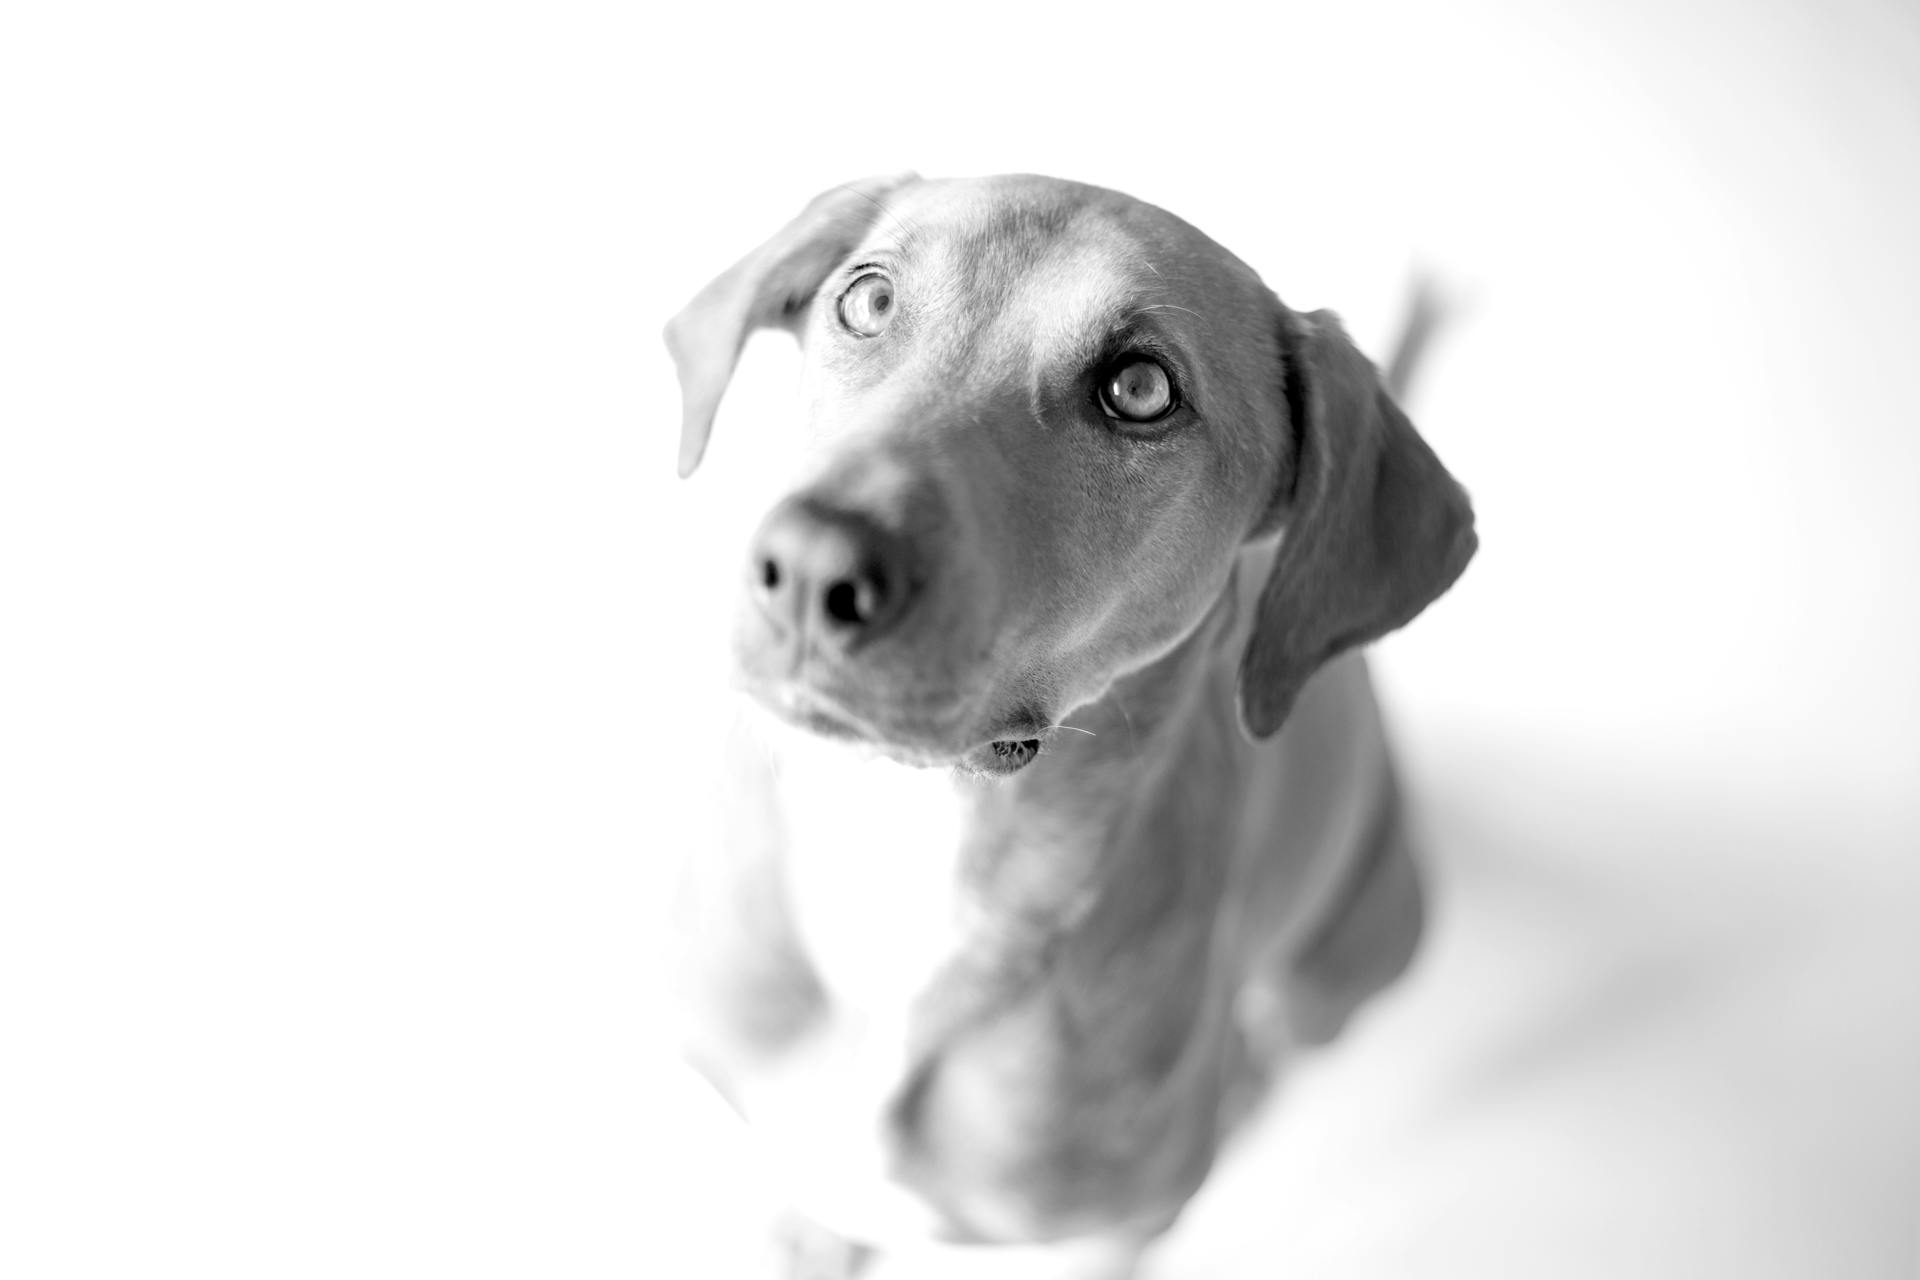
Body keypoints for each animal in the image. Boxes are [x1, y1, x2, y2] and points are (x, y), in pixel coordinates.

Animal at [668, 175, 1474, 1274]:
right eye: (867, 299)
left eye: (1138, 389)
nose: (811, 562)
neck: (911, 850)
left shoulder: (1112, 1233)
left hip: (1357, 949)